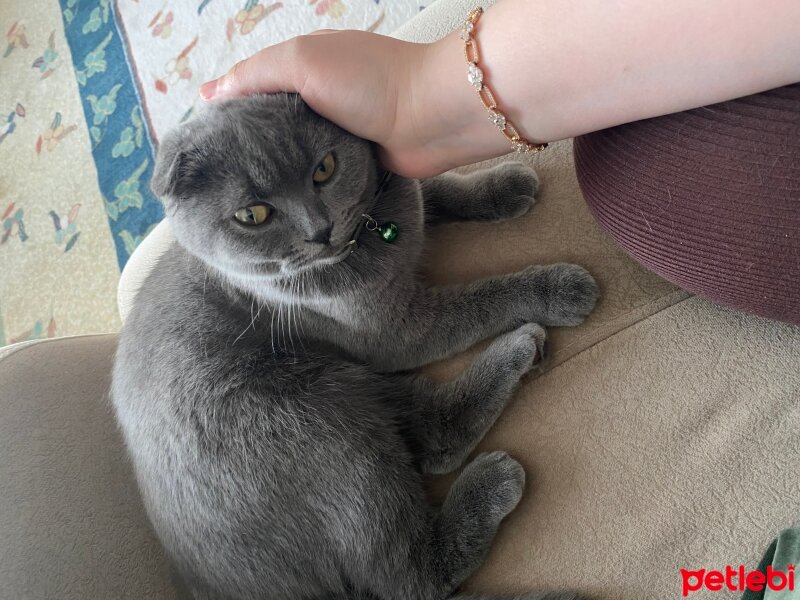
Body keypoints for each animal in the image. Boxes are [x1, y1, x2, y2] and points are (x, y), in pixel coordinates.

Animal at [115, 95, 596, 600]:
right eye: (253, 215)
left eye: (323, 169)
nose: (319, 230)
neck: (366, 235)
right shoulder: (398, 331)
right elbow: (481, 302)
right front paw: (555, 290)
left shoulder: (398, 194)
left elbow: (435, 190)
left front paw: (503, 186)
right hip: (304, 416)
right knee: (411, 573)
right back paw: (500, 448)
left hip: (343, 386)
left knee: (432, 439)